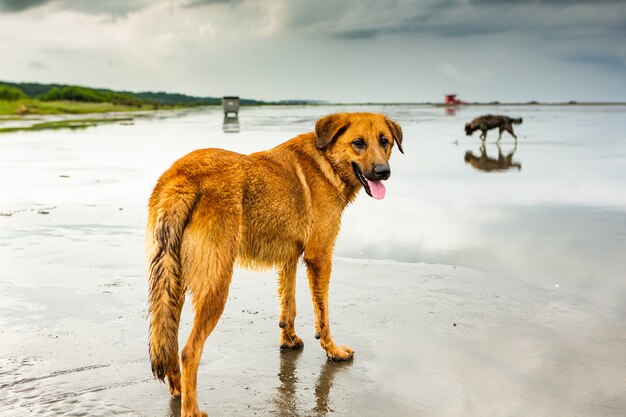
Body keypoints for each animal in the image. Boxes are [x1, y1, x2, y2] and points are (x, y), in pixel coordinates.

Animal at [146, 111, 402, 416]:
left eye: (384, 141)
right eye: (359, 143)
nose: (383, 172)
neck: (326, 160)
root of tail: (181, 179)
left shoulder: (289, 256)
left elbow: (288, 304)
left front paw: (288, 340)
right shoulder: (320, 256)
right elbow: (323, 314)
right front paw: (332, 350)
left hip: (173, 281)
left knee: (170, 340)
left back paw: (177, 387)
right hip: (215, 285)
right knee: (189, 351)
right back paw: (192, 409)